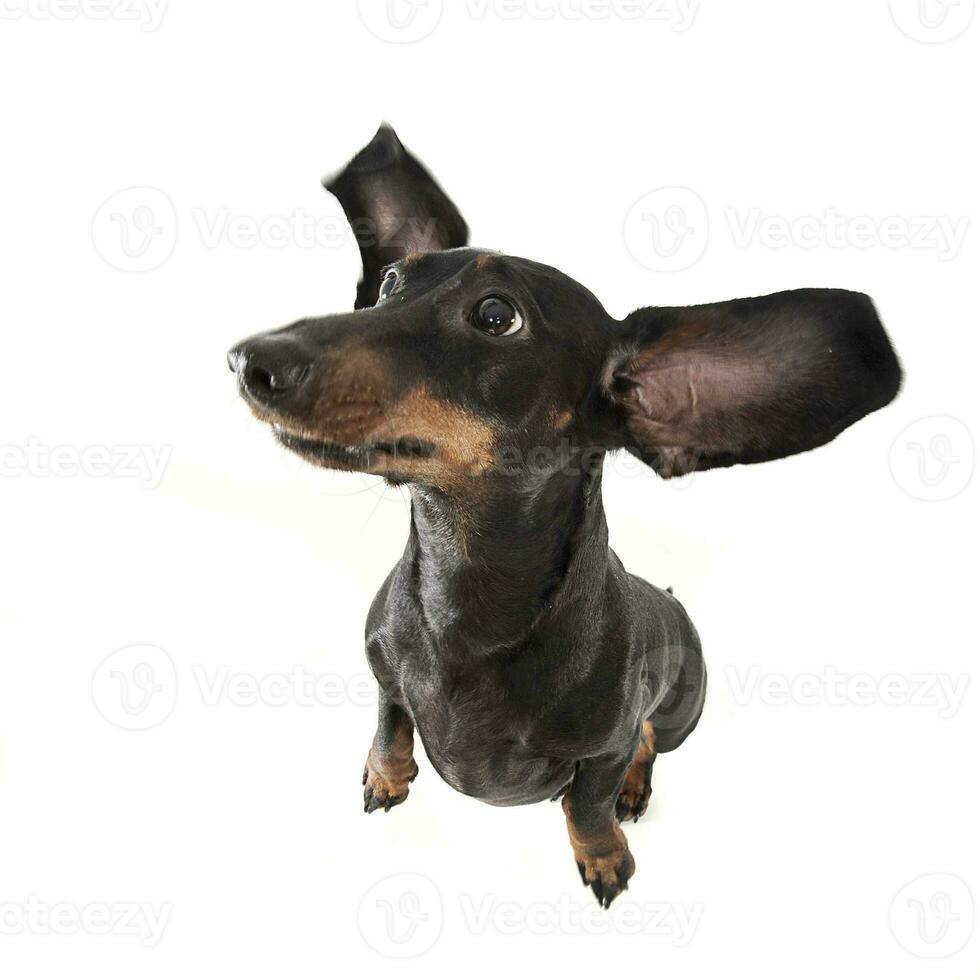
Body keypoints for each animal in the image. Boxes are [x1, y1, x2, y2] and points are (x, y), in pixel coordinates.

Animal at [226, 126, 900, 908]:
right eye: (391, 283)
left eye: (496, 316)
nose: (248, 362)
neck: (467, 606)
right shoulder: (385, 679)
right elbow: (391, 727)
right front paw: (386, 777)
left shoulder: (602, 749)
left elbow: (587, 803)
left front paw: (604, 854)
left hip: (679, 713)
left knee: (646, 746)